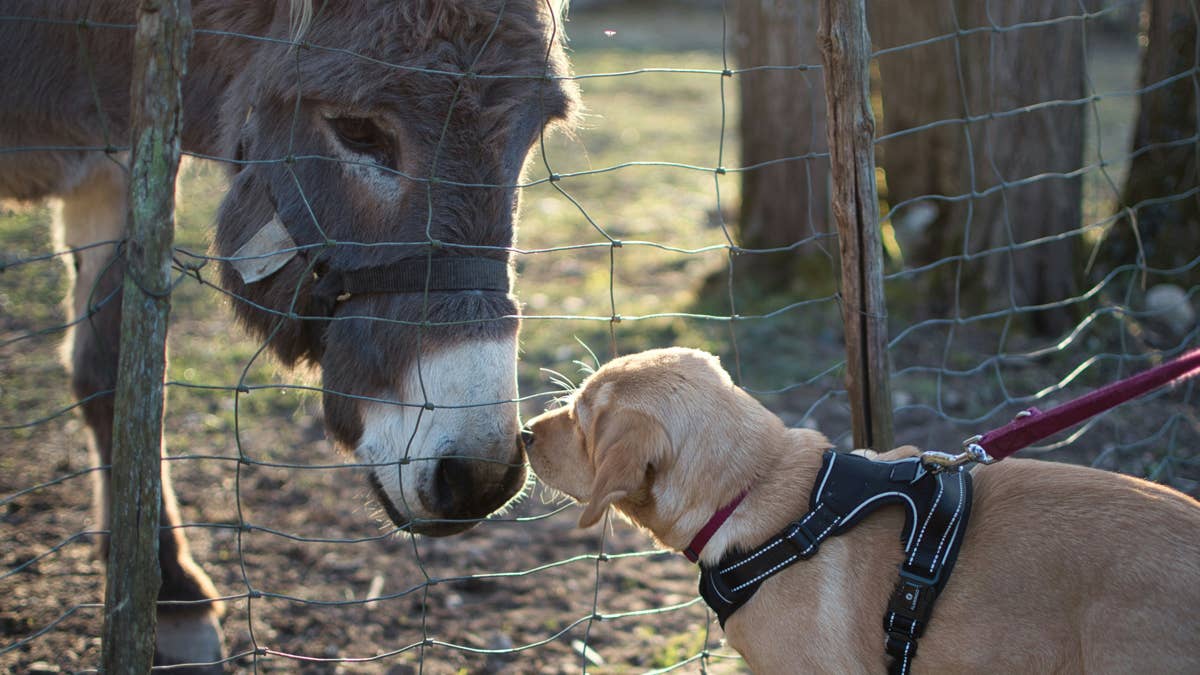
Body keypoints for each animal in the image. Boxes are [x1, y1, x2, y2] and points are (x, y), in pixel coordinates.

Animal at [0, 0, 578, 669]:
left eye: (537, 129)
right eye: (357, 131)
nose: (477, 480)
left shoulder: (118, 162)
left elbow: (110, 369)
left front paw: (168, 596)